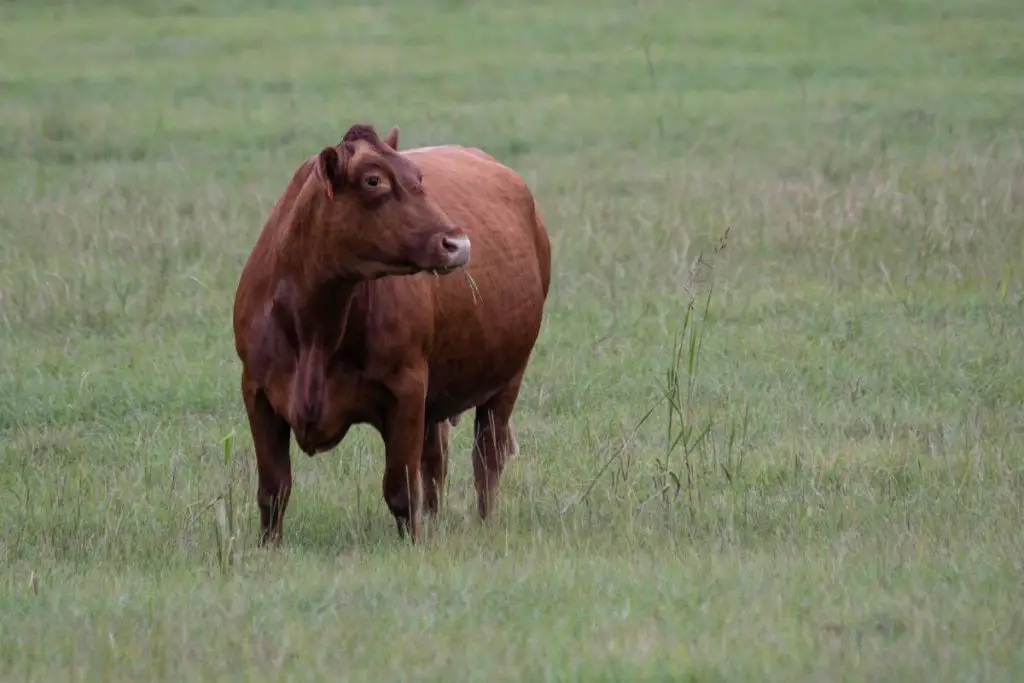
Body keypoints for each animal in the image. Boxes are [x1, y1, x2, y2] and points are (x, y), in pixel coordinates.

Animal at [232, 122, 552, 544]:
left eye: (418, 176)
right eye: (374, 181)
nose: (458, 244)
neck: (314, 329)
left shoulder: (407, 389)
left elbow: (400, 488)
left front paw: (412, 545)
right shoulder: (257, 392)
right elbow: (273, 489)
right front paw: (268, 548)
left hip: (507, 378)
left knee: (486, 457)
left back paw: (483, 523)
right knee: (436, 460)